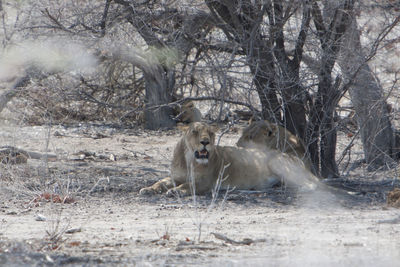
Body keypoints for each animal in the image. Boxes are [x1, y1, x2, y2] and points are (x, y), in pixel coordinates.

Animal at [139, 122, 320, 197]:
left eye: (211, 133)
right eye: (195, 132)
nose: (205, 142)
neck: (188, 158)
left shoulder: (206, 182)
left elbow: (188, 185)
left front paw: (176, 191)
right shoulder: (175, 177)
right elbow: (160, 182)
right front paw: (148, 189)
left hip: (277, 162)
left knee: (314, 183)